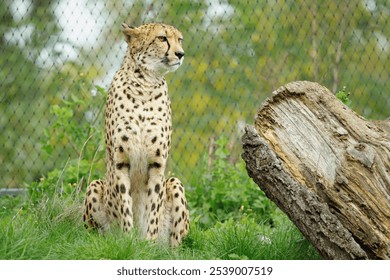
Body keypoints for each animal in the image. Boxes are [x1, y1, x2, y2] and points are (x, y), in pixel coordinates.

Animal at [83, 23, 190, 246]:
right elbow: (125, 204)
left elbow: (153, 208)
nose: (180, 54)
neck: (145, 85)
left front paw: (148, 243)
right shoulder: (120, 161)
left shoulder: (157, 164)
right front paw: (128, 240)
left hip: (175, 184)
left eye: (179, 39)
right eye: (162, 38)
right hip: (94, 187)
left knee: (177, 244)